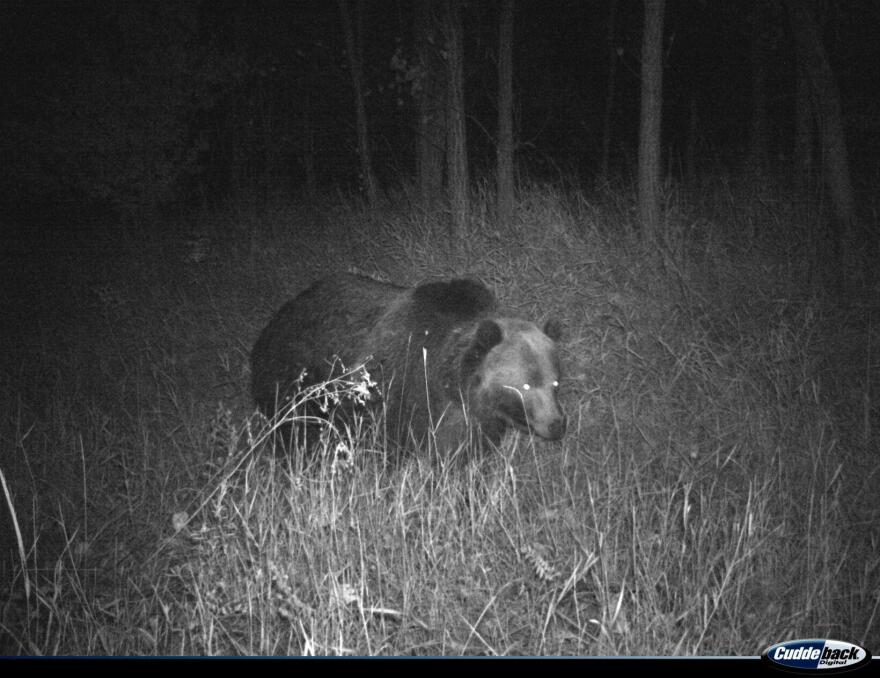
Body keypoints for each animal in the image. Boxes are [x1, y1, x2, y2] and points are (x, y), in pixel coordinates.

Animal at [249, 274, 564, 456]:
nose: (556, 425)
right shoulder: (400, 395)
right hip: (295, 384)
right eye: (526, 384)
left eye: (555, 383)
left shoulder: (469, 419)